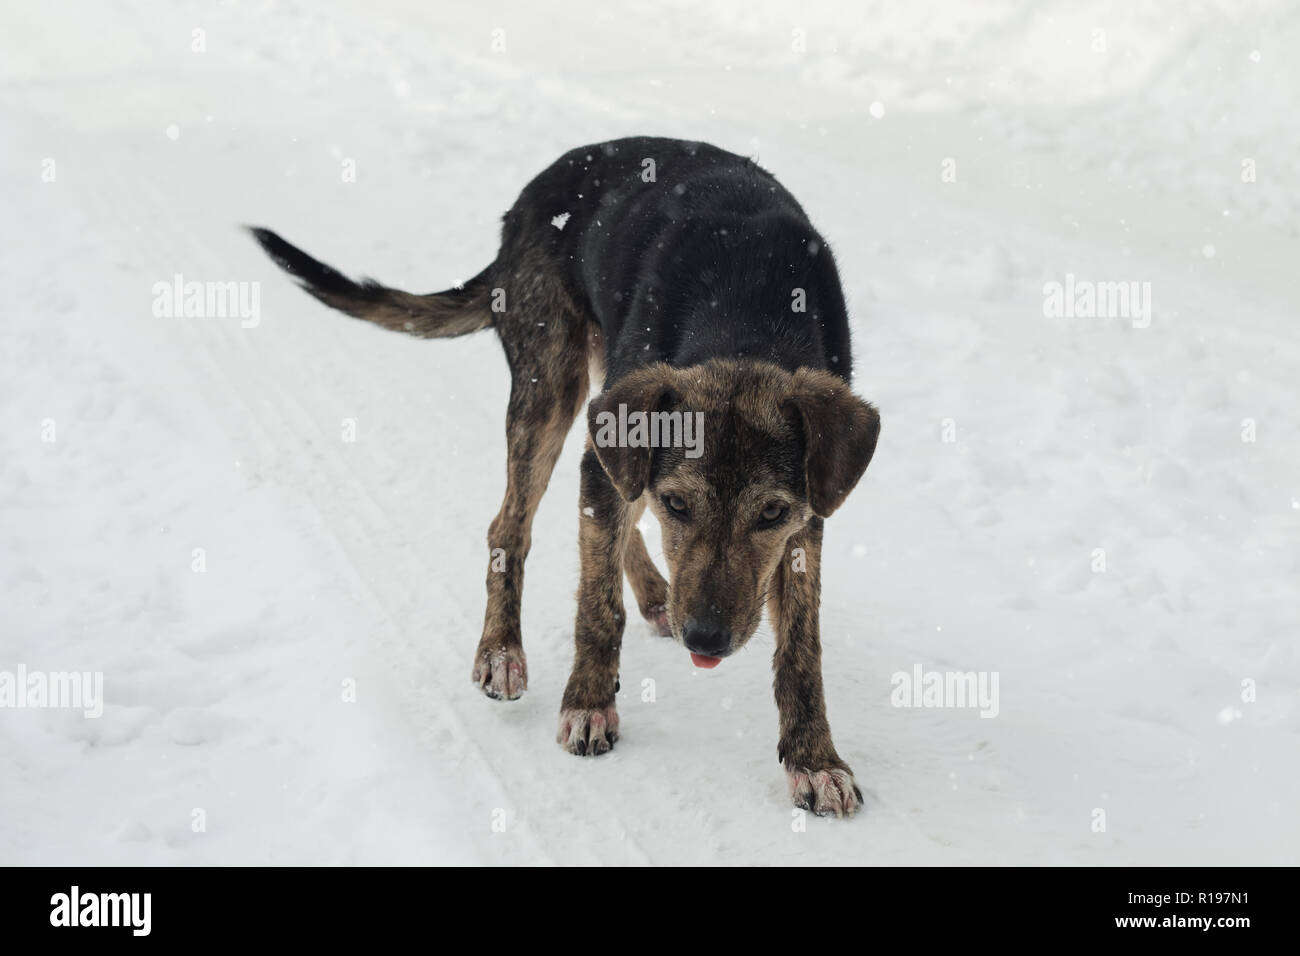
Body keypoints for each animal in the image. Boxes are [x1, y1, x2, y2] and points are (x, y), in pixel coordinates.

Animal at [250, 136, 883, 816]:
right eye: (678, 505)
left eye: (771, 512)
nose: (705, 640)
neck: (742, 321)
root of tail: (523, 206)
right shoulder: (626, 455)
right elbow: (597, 607)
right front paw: (588, 704)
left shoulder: (806, 515)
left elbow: (801, 648)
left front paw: (814, 758)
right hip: (551, 382)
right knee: (511, 525)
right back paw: (502, 651)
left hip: (607, 404)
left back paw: (654, 596)